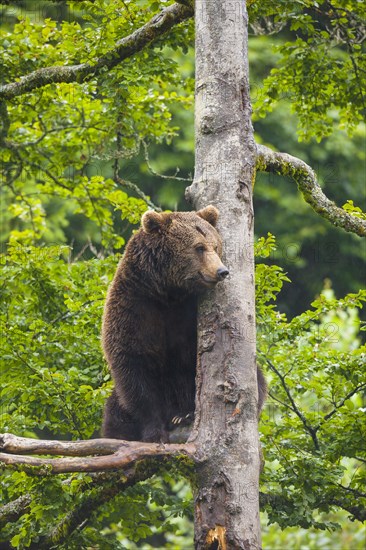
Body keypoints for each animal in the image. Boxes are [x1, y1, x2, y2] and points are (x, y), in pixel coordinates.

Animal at [101, 207, 264, 444]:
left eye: (216, 245)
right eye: (199, 247)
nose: (222, 271)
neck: (170, 292)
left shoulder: (186, 313)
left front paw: (186, 414)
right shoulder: (135, 305)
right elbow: (134, 366)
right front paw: (154, 433)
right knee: (115, 413)